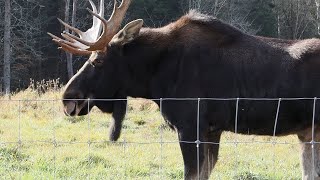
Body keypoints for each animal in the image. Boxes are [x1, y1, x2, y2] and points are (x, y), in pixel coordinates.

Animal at [49, 0, 320, 179]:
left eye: (98, 61)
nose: (67, 98)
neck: (154, 80)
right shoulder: (212, 130)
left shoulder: (190, 127)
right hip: (309, 133)